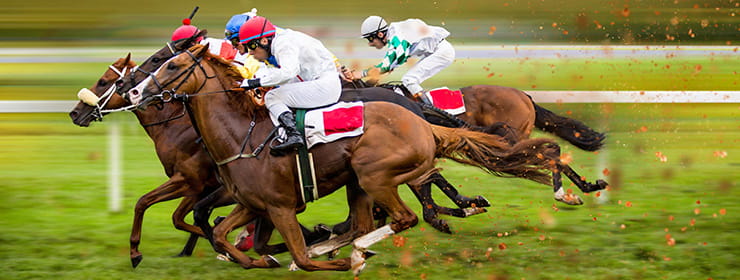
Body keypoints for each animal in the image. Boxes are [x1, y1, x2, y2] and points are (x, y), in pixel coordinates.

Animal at [129, 44, 568, 274]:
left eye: (170, 63)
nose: (135, 92)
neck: (242, 135)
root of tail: (422, 122)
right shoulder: (254, 204)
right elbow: (220, 232)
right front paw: (260, 258)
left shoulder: (280, 206)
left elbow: (299, 256)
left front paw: (319, 258)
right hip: (358, 182)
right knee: (364, 221)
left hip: (373, 176)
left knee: (401, 216)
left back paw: (359, 250)